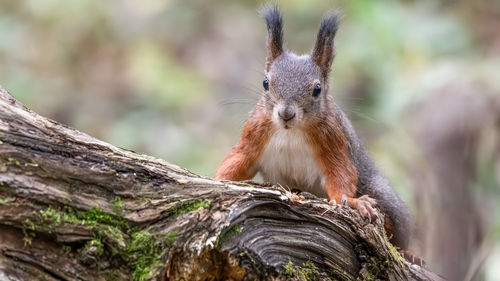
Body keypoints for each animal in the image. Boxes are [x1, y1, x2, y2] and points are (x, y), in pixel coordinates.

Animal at [215, 4, 414, 258]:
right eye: (265, 83)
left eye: (317, 89)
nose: (286, 114)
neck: (291, 132)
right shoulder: (254, 134)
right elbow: (238, 161)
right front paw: (216, 180)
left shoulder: (334, 140)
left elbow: (341, 173)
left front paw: (352, 202)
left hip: (383, 195)